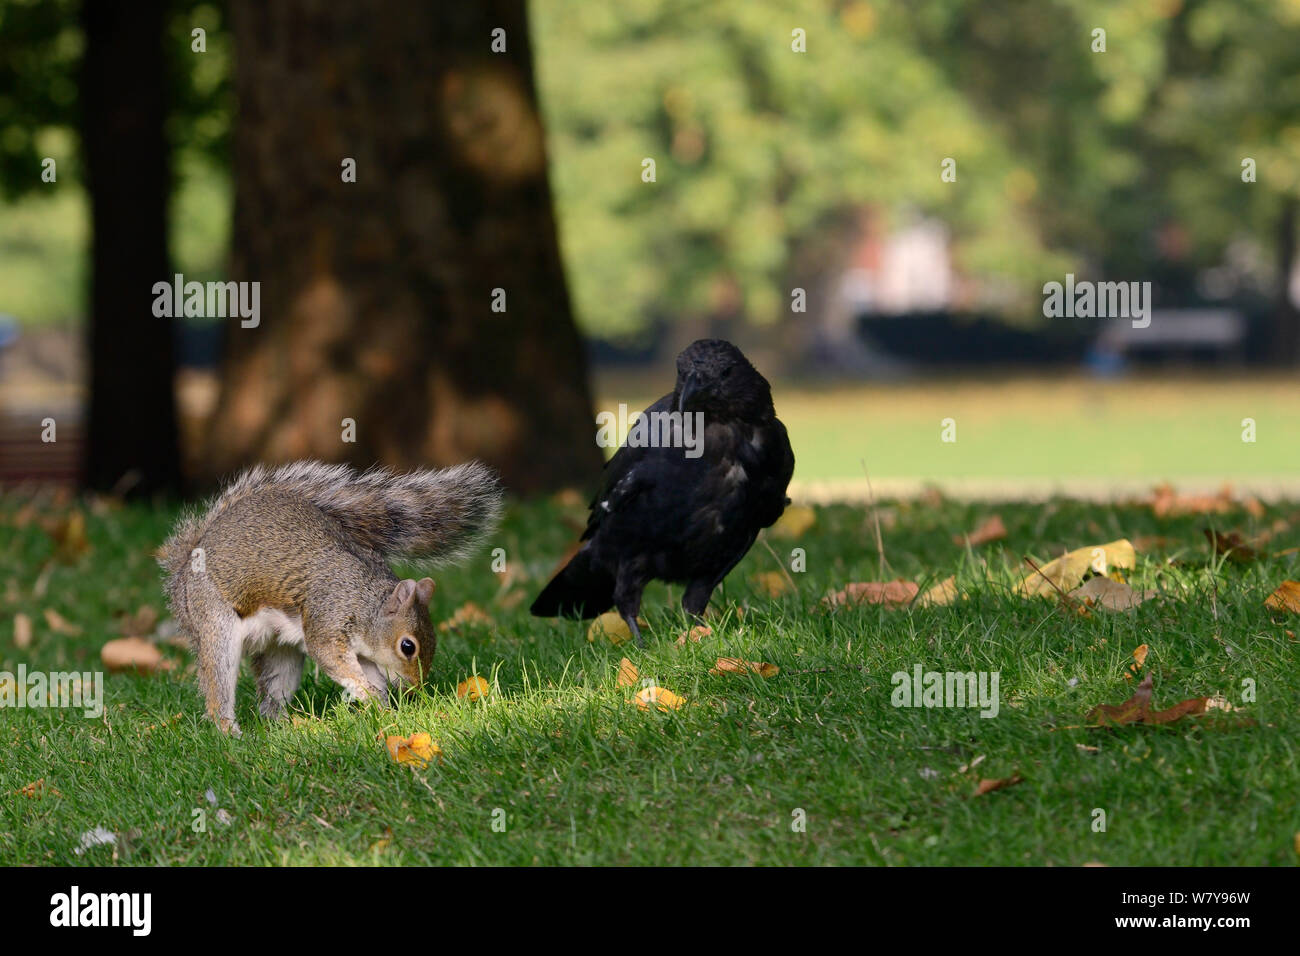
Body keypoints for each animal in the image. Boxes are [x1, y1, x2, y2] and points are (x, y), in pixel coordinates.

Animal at [158, 460, 501, 738]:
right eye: (408, 646)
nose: (414, 689)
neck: (364, 599)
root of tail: (185, 568)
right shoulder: (328, 617)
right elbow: (334, 660)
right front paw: (368, 694)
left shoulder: (365, 651)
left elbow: (371, 672)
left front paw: (383, 705)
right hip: (213, 621)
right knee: (217, 685)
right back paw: (230, 732)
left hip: (280, 653)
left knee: (272, 696)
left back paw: (285, 727)